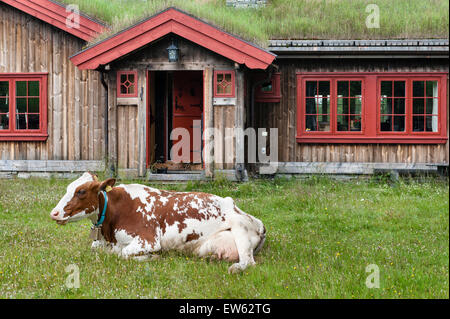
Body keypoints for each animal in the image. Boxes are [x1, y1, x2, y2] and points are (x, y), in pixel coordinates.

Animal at [50, 174, 266, 274]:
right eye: (68, 188)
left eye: (81, 191)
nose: (54, 213)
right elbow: (97, 248)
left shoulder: (148, 240)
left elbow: (123, 254)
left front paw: (153, 257)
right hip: (204, 248)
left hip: (240, 227)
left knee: (249, 262)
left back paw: (235, 268)